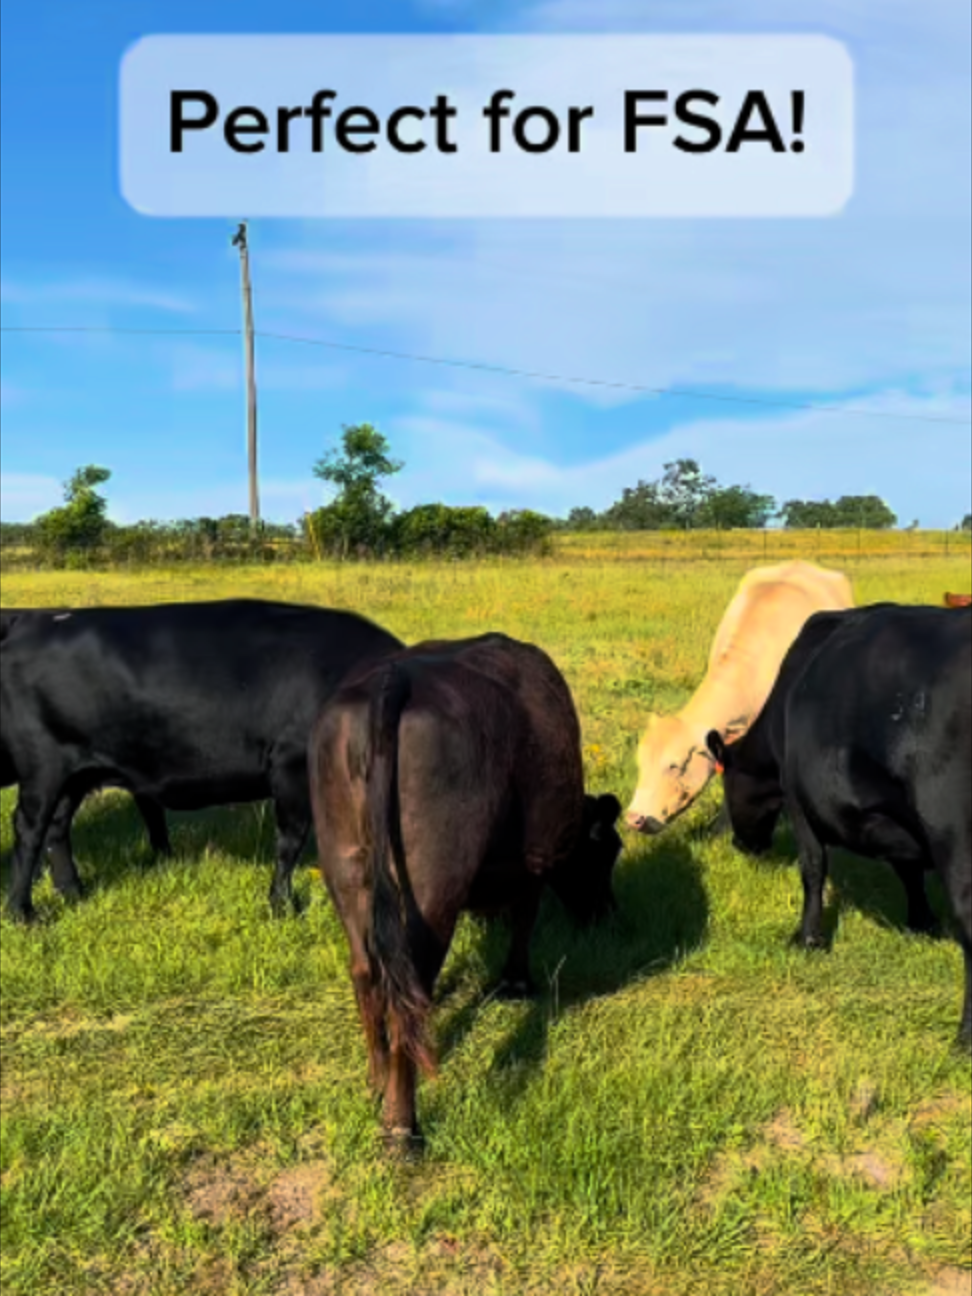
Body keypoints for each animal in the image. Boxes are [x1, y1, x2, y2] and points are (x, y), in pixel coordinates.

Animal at [308, 632, 624, 1152]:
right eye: (610, 851)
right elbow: (524, 917)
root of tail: (391, 678)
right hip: (434, 884)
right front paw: (516, 983)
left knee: (367, 972)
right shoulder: (535, 860)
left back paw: (376, 1083)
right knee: (408, 996)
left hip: (346, 866)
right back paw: (402, 1128)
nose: (607, 916)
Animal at [708, 604, 972, 1049]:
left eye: (726, 786)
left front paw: (807, 939)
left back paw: (964, 1039)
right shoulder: (895, 823)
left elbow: (813, 870)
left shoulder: (798, 801)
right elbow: (909, 871)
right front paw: (921, 922)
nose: (742, 846)